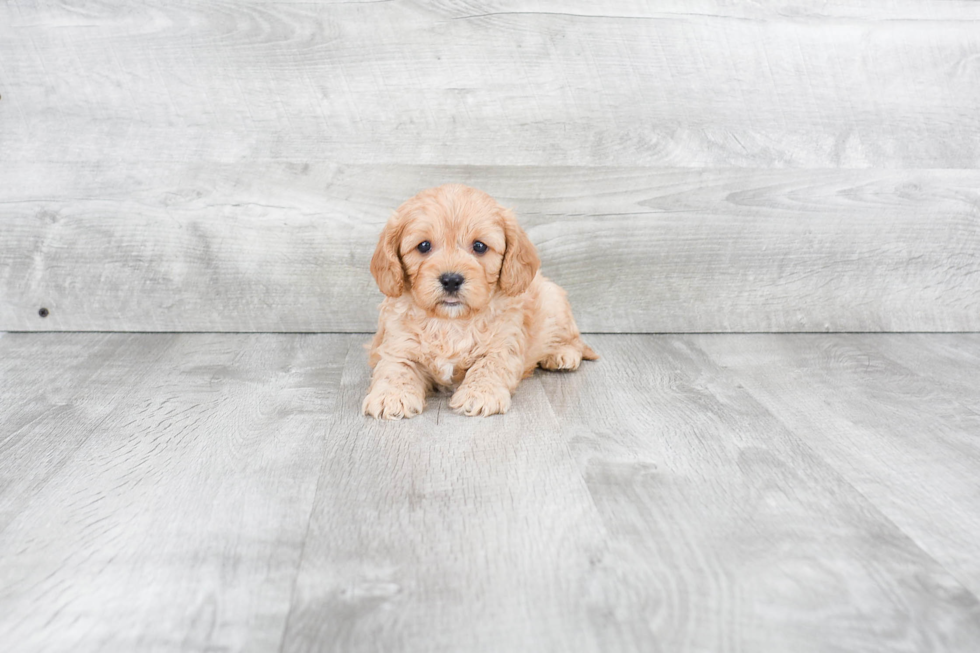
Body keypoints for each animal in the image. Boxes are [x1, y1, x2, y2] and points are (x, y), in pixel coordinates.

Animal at [364, 183, 596, 418]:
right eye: (423, 246)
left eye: (480, 246)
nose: (451, 280)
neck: (450, 322)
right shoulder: (397, 345)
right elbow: (396, 369)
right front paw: (391, 397)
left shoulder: (503, 344)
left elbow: (489, 366)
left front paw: (480, 394)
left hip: (553, 303)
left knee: (573, 338)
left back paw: (562, 354)